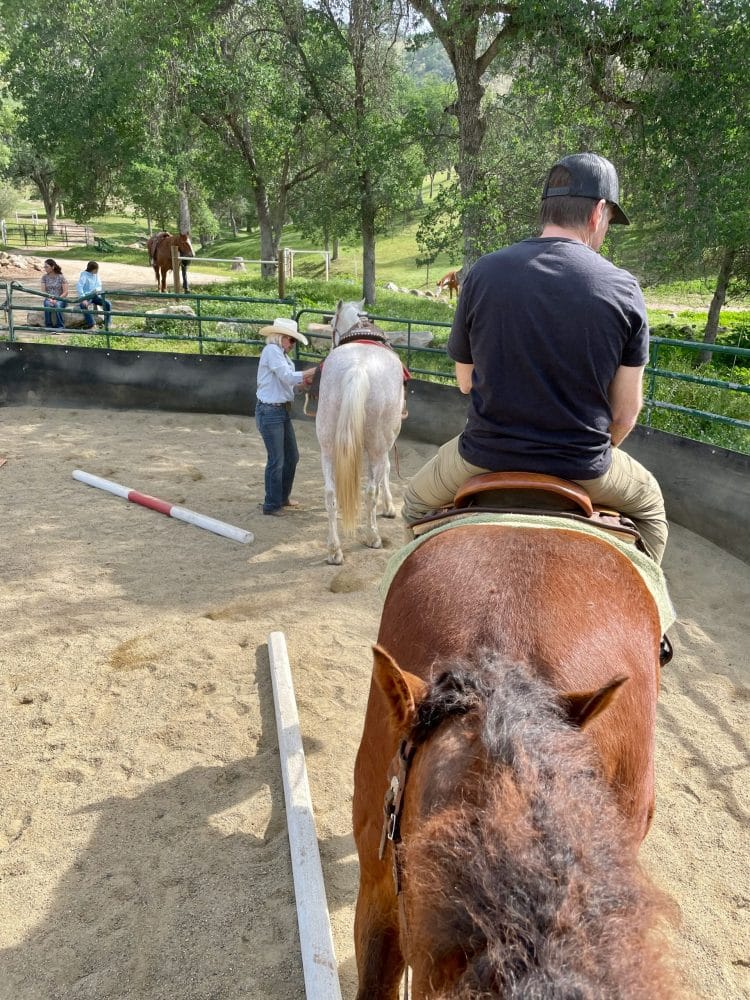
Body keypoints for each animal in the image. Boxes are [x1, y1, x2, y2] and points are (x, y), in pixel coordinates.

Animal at [315, 299, 406, 565]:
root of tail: (358, 369)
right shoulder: (388, 441)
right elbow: (386, 469)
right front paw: (389, 507)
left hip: (327, 445)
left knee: (330, 493)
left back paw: (334, 550)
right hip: (377, 443)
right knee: (370, 491)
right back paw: (373, 536)